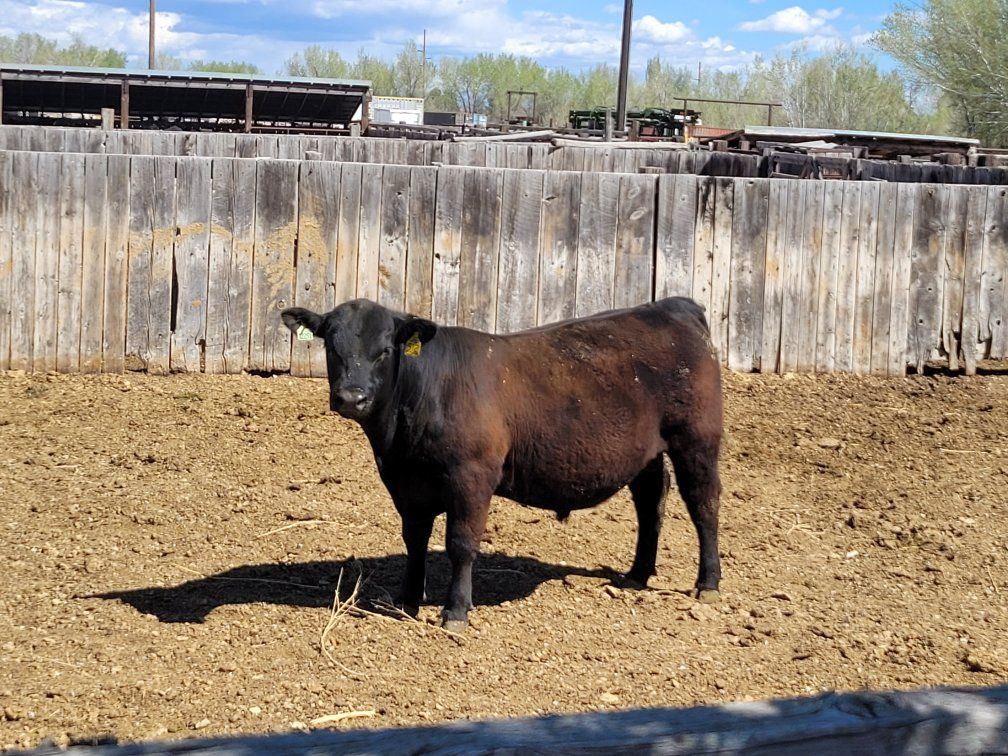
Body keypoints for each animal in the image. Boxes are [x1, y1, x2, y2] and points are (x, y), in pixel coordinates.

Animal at [281, 297, 723, 632]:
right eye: (331, 347)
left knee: (703, 504)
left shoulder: (472, 477)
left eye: (385, 351)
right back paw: (637, 575)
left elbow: (461, 544)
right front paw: (407, 599)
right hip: (645, 452)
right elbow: (415, 540)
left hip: (697, 438)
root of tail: (672, 305)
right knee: (651, 504)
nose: (351, 398)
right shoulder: (405, 482)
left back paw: (708, 582)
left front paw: (455, 611)